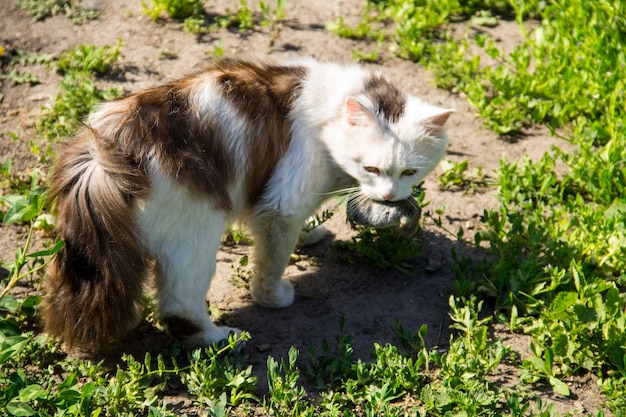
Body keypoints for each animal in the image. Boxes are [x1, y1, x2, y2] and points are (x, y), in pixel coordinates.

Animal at [44, 57, 450, 352]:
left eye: (410, 172)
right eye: (371, 168)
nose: (389, 196)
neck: (330, 111)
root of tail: (105, 149)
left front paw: (310, 234)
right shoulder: (283, 203)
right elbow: (272, 261)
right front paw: (273, 298)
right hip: (195, 235)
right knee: (179, 304)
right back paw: (220, 339)